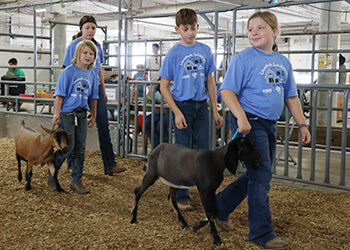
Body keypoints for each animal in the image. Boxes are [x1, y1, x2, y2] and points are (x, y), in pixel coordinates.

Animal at [131, 136, 260, 245]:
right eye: (242, 147)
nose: (257, 162)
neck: (215, 161)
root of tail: (154, 150)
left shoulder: (211, 190)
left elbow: (214, 211)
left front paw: (197, 226)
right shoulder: (203, 188)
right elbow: (210, 212)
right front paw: (216, 238)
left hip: (173, 181)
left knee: (171, 199)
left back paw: (184, 223)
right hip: (151, 173)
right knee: (138, 191)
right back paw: (133, 218)